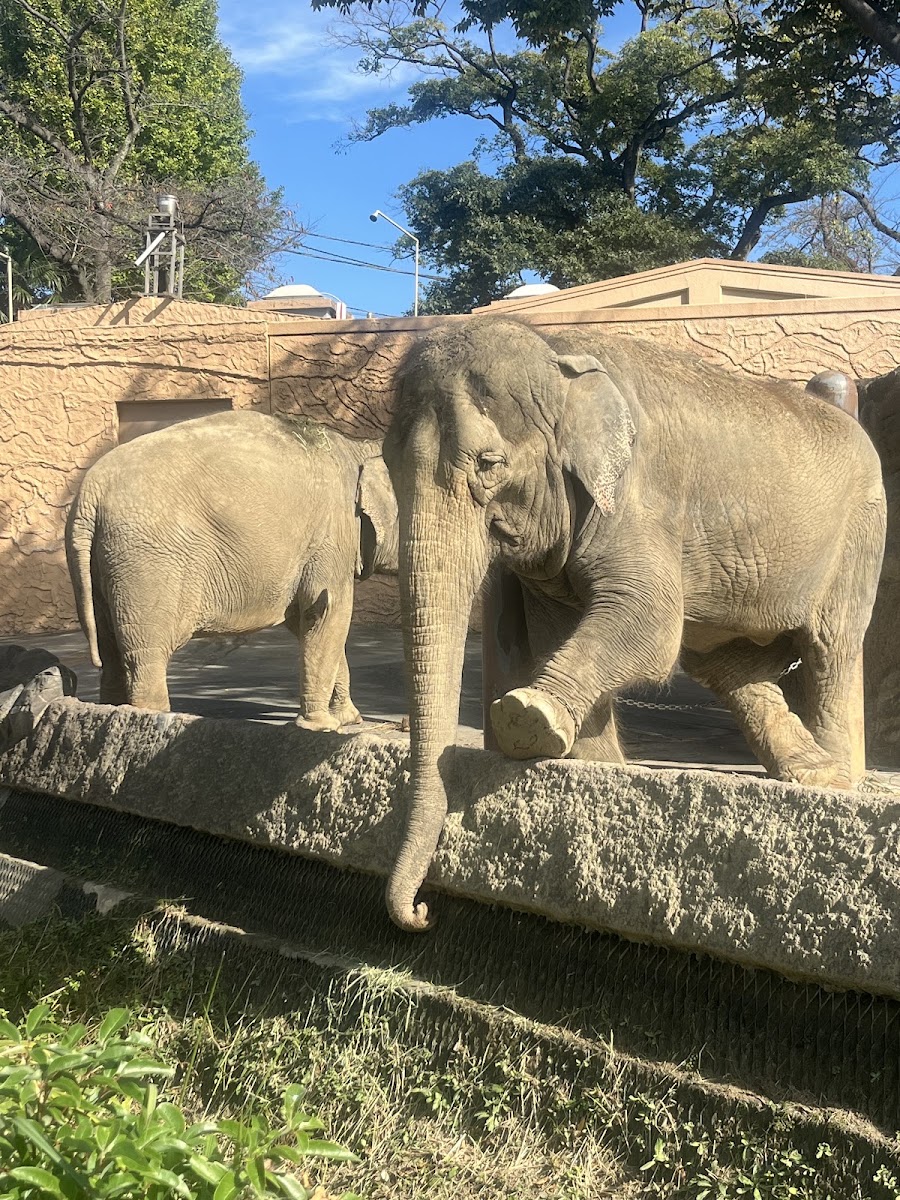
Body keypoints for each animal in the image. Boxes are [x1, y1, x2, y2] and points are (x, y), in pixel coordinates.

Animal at [66, 409, 398, 727]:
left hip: (100, 565)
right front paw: (324, 727)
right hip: (147, 564)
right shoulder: (333, 536)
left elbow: (308, 621)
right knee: (145, 656)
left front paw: (348, 719)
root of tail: (89, 497)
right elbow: (330, 614)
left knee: (110, 652)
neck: (358, 446)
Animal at [382, 317, 886, 932]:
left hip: (860, 533)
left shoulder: (638, 497)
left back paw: (839, 784)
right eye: (386, 463)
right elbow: (560, 629)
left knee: (830, 646)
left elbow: (649, 617)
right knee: (725, 664)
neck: (557, 351)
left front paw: (526, 717)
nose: (422, 912)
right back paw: (813, 772)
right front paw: (598, 765)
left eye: (488, 463)